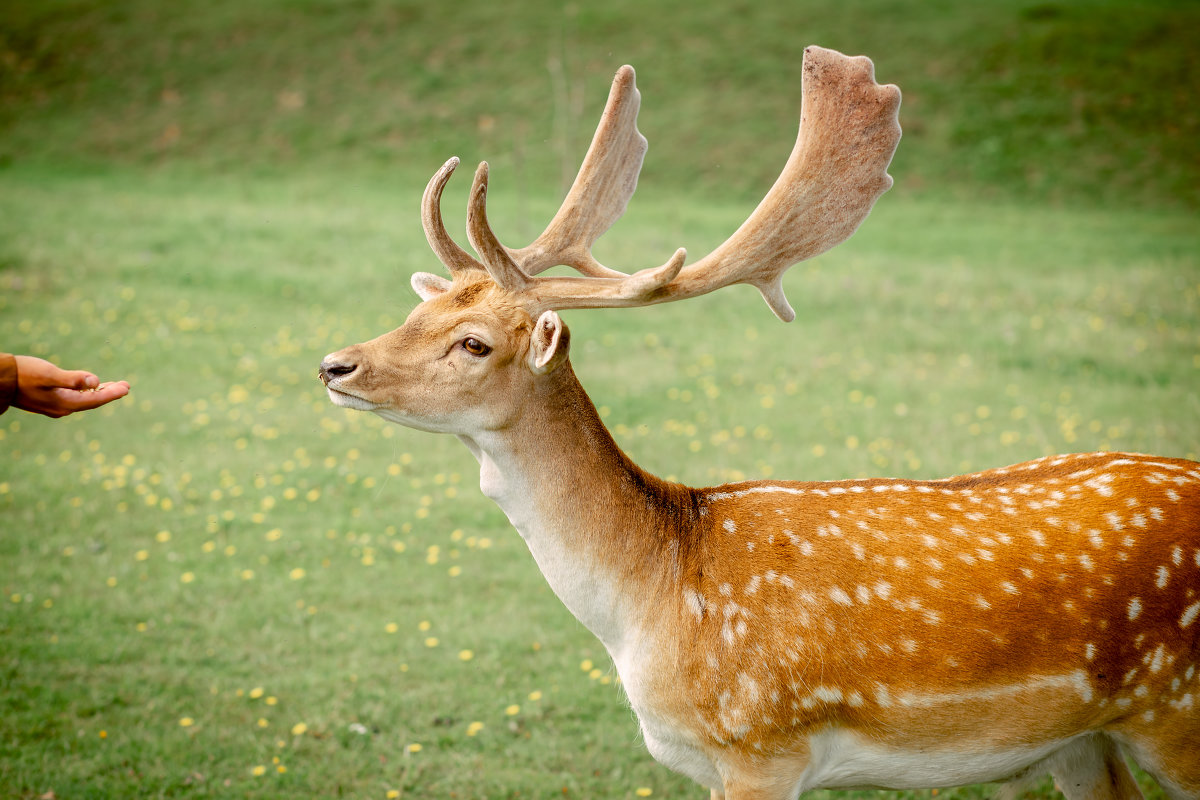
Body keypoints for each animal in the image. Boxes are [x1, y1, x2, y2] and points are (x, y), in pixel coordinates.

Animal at [319, 48, 1200, 800]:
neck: (650, 601)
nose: (335, 365)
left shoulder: (760, 745)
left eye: (473, 343)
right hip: (1082, 740)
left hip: (1175, 715)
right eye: (417, 310)